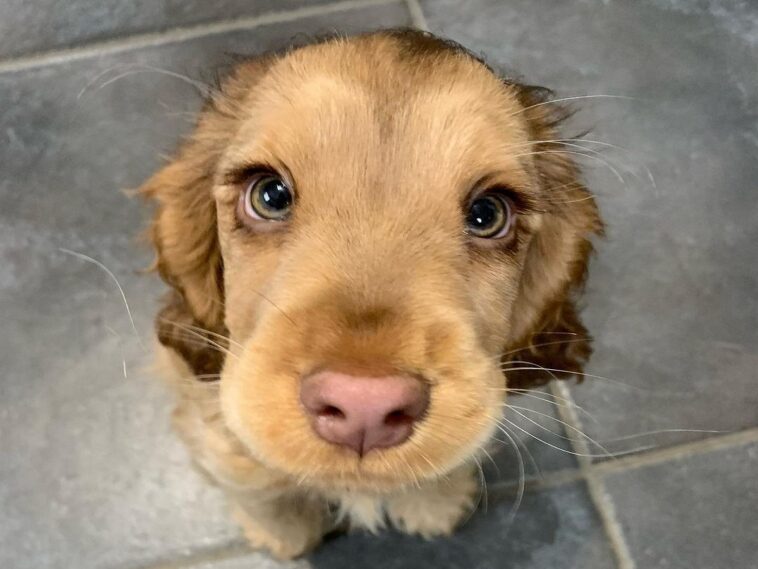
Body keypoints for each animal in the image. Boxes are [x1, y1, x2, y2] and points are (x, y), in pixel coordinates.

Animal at [140, 28, 604, 556]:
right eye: (269, 195)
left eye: (488, 213)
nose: (365, 407)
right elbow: (255, 482)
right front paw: (283, 536)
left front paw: (434, 506)